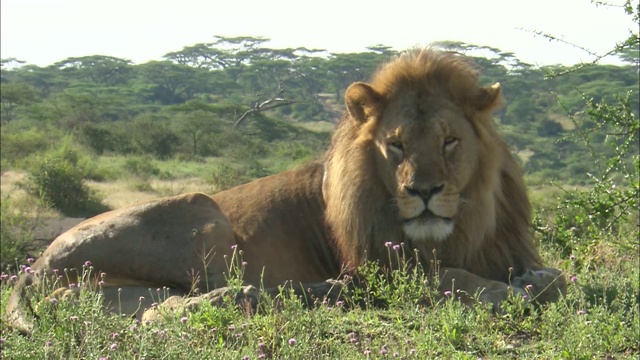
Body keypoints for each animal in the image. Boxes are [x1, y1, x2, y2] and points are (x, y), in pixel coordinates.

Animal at [5, 48, 564, 334]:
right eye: (396, 145)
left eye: (450, 141)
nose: (423, 191)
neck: (462, 225)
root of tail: (31, 268)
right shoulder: (383, 269)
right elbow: (452, 277)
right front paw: (508, 292)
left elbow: (558, 277)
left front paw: (534, 281)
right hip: (203, 212)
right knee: (171, 308)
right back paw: (300, 293)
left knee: (155, 306)